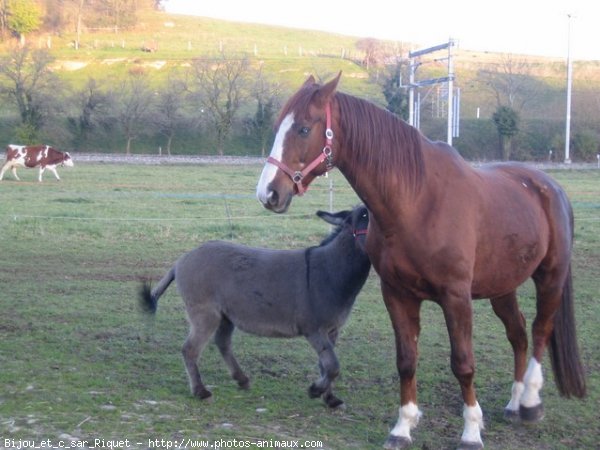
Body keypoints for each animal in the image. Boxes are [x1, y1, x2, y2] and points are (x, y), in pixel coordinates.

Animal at [254, 72, 584, 448]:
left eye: (304, 129)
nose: (268, 193)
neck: (418, 201)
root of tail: (550, 187)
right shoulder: (398, 295)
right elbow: (406, 361)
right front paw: (403, 427)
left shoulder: (456, 297)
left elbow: (463, 364)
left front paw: (471, 430)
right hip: (503, 287)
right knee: (518, 335)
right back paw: (514, 404)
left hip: (550, 277)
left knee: (540, 330)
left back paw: (529, 402)